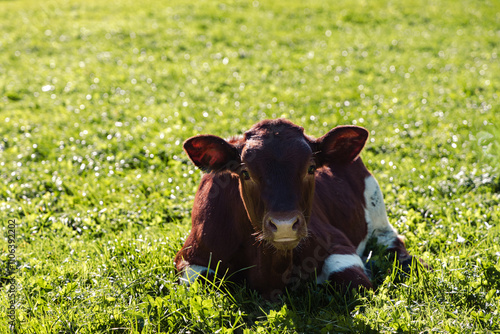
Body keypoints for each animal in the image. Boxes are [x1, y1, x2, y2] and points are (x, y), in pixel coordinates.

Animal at [174, 118, 416, 298]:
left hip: (377, 208)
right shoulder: (191, 256)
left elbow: (356, 284)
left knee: (391, 241)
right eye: (245, 173)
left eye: (311, 168)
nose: (284, 225)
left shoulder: (337, 244)